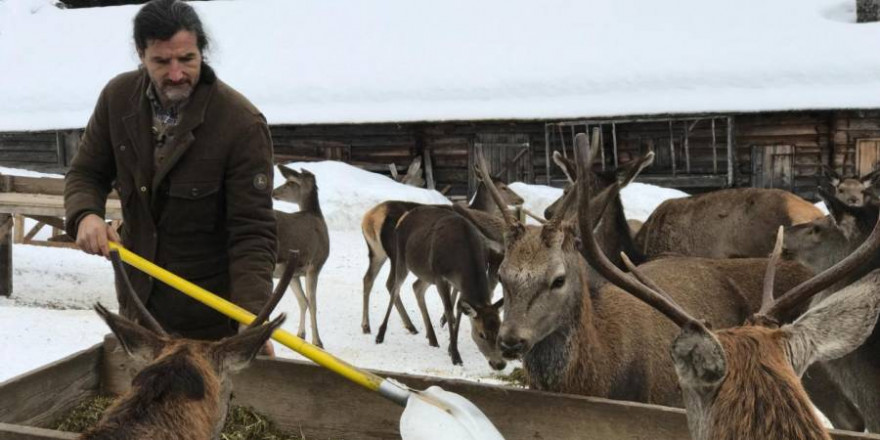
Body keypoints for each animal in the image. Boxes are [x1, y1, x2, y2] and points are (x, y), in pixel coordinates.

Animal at [272, 165, 330, 348]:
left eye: (290, 182)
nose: (273, 192)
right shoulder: (315, 265)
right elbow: (313, 303)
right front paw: (317, 341)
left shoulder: (294, 273)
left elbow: (303, 301)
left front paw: (301, 335)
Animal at [360, 171, 524, 334]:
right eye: (503, 187)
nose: (520, 199)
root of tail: (369, 219)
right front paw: (445, 318)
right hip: (396, 253)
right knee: (390, 283)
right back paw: (409, 325)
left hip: (377, 252)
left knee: (368, 278)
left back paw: (367, 325)